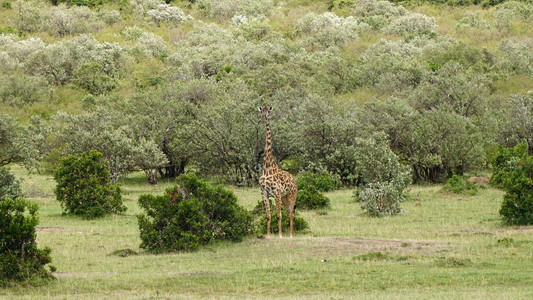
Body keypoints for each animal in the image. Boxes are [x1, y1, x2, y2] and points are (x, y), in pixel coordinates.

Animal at [256, 105, 298, 239]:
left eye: (268, 111)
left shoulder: (276, 193)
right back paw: (291, 234)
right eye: (261, 111)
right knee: (289, 212)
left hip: (291, 194)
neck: (267, 168)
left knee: (291, 213)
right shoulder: (264, 193)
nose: (264, 118)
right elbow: (268, 216)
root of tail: (294, 180)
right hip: (284, 197)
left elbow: (279, 215)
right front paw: (268, 235)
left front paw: (279, 235)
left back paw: (291, 235)